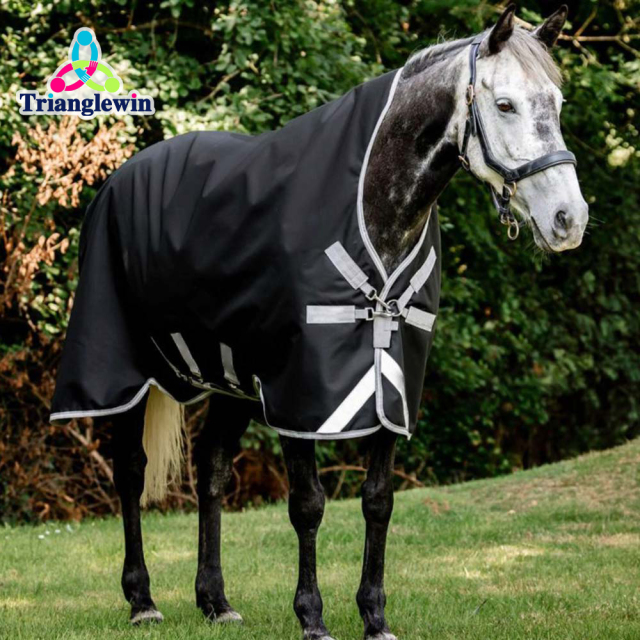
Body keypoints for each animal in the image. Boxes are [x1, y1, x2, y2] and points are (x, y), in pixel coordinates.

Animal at [54, 5, 588, 639]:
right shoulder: (302, 393)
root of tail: (120, 178)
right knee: (131, 472)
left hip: (232, 378)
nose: (569, 219)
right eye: (504, 104)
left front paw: (375, 616)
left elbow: (378, 499)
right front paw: (312, 616)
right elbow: (307, 504)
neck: (375, 209)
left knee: (211, 469)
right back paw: (142, 600)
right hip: (126, 374)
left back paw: (215, 600)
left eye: (557, 103)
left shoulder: (392, 383)